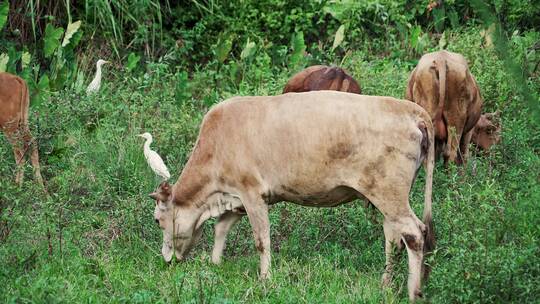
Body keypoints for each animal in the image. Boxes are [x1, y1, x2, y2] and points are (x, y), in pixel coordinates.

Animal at [150, 91, 436, 302]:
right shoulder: (235, 198)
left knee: (413, 233)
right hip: (388, 198)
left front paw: (265, 279)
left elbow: (261, 240)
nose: (166, 260)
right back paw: (385, 284)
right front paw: (215, 263)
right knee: (393, 237)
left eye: (157, 221)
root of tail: (411, 110)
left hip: (389, 194)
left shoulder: (251, 192)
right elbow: (221, 228)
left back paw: (413, 292)